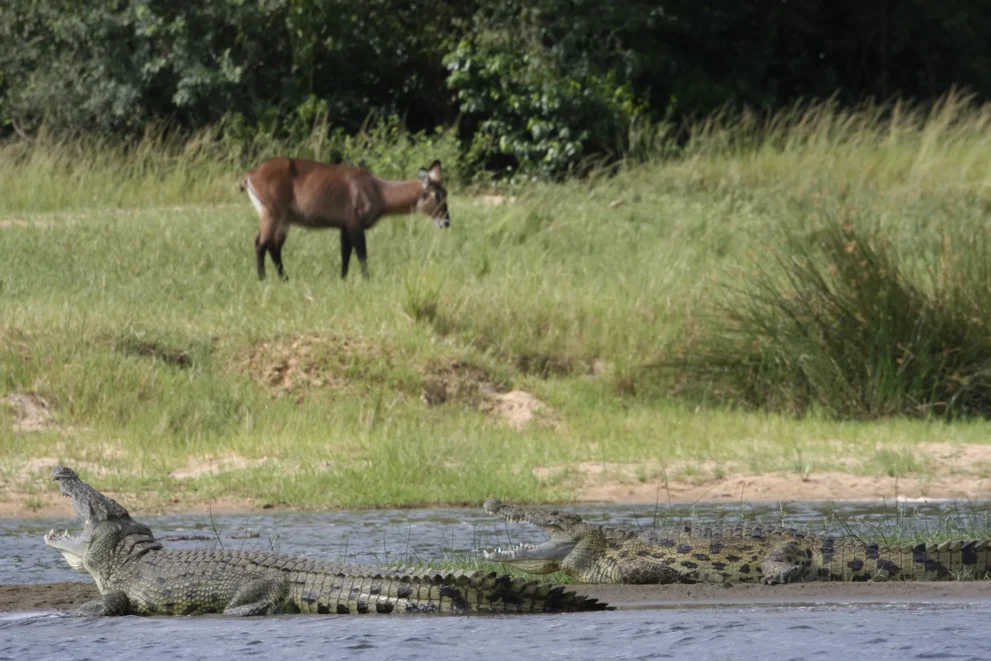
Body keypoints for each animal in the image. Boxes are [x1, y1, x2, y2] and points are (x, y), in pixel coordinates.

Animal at [242, 159, 452, 280]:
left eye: (446, 192)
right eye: (438, 195)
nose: (446, 222)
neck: (378, 190)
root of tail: (251, 174)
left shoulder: (344, 227)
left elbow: (345, 255)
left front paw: (342, 279)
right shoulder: (355, 225)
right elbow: (361, 255)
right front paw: (367, 280)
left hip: (283, 221)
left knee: (273, 246)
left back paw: (284, 279)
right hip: (272, 215)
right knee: (260, 243)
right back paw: (263, 279)